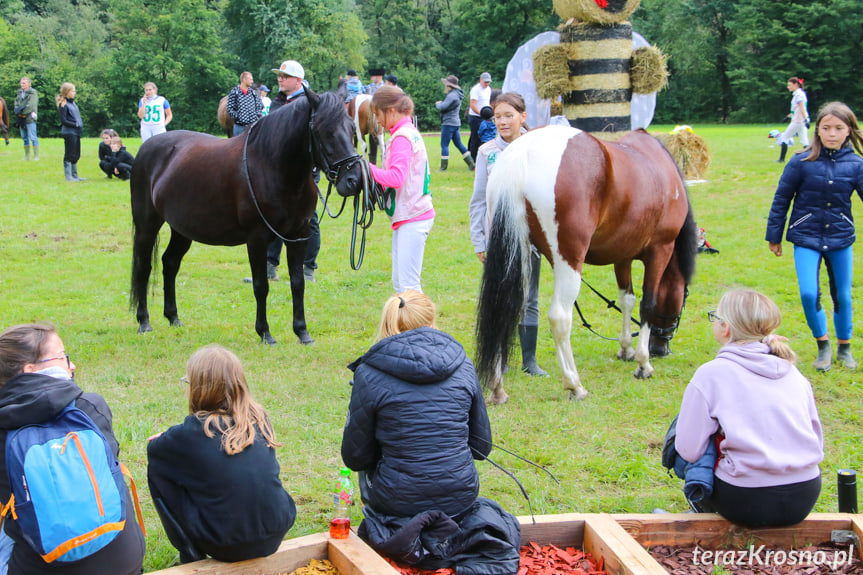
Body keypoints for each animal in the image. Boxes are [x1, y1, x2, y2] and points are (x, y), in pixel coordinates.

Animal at [130, 88, 362, 344]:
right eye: (325, 131)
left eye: (352, 129)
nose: (354, 180)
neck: (273, 167)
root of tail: (147, 147)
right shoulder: (257, 239)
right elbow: (261, 286)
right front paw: (265, 333)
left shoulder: (299, 236)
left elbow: (298, 283)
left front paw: (302, 332)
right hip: (146, 226)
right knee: (143, 268)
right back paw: (144, 321)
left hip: (182, 230)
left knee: (170, 263)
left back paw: (173, 317)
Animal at [476, 126, 700, 404]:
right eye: (682, 300)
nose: (660, 348)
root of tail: (523, 153)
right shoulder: (661, 249)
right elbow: (647, 303)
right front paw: (643, 363)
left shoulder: (623, 256)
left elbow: (627, 299)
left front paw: (625, 350)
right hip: (568, 261)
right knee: (560, 317)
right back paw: (574, 384)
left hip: (517, 254)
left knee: (506, 305)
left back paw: (498, 388)